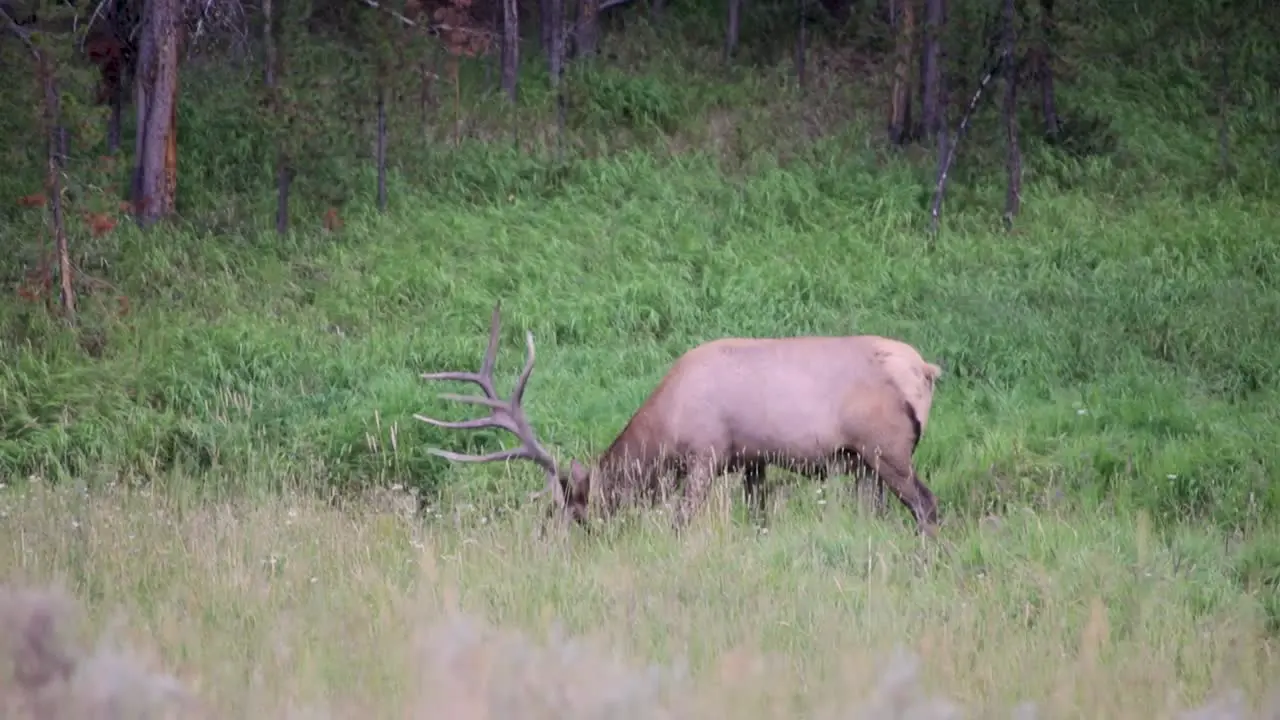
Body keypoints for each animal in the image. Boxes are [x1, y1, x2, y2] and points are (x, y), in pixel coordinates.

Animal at [414, 298, 947, 532]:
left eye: (575, 512)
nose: (555, 543)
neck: (664, 432)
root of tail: (925, 369)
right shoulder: (752, 459)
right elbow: (757, 517)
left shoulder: (706, 455)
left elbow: (681, 521)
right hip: (866, 463)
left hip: (888, 449)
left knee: (928, 505)